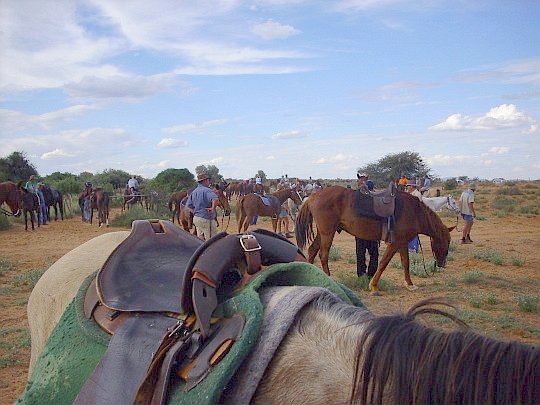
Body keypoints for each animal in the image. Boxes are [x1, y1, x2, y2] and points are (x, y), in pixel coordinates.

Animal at [296, 185, 456, 292]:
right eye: (446, 242)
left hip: (323, 233)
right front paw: (373, 285)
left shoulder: (402, 243)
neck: (414, 212)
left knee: (312, 250)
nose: (442, 263)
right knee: (323, 255)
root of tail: (312, 197)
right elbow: (384, 263)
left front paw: (410, 284)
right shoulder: (395, 243)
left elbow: (405, 263)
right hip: (327, 233)